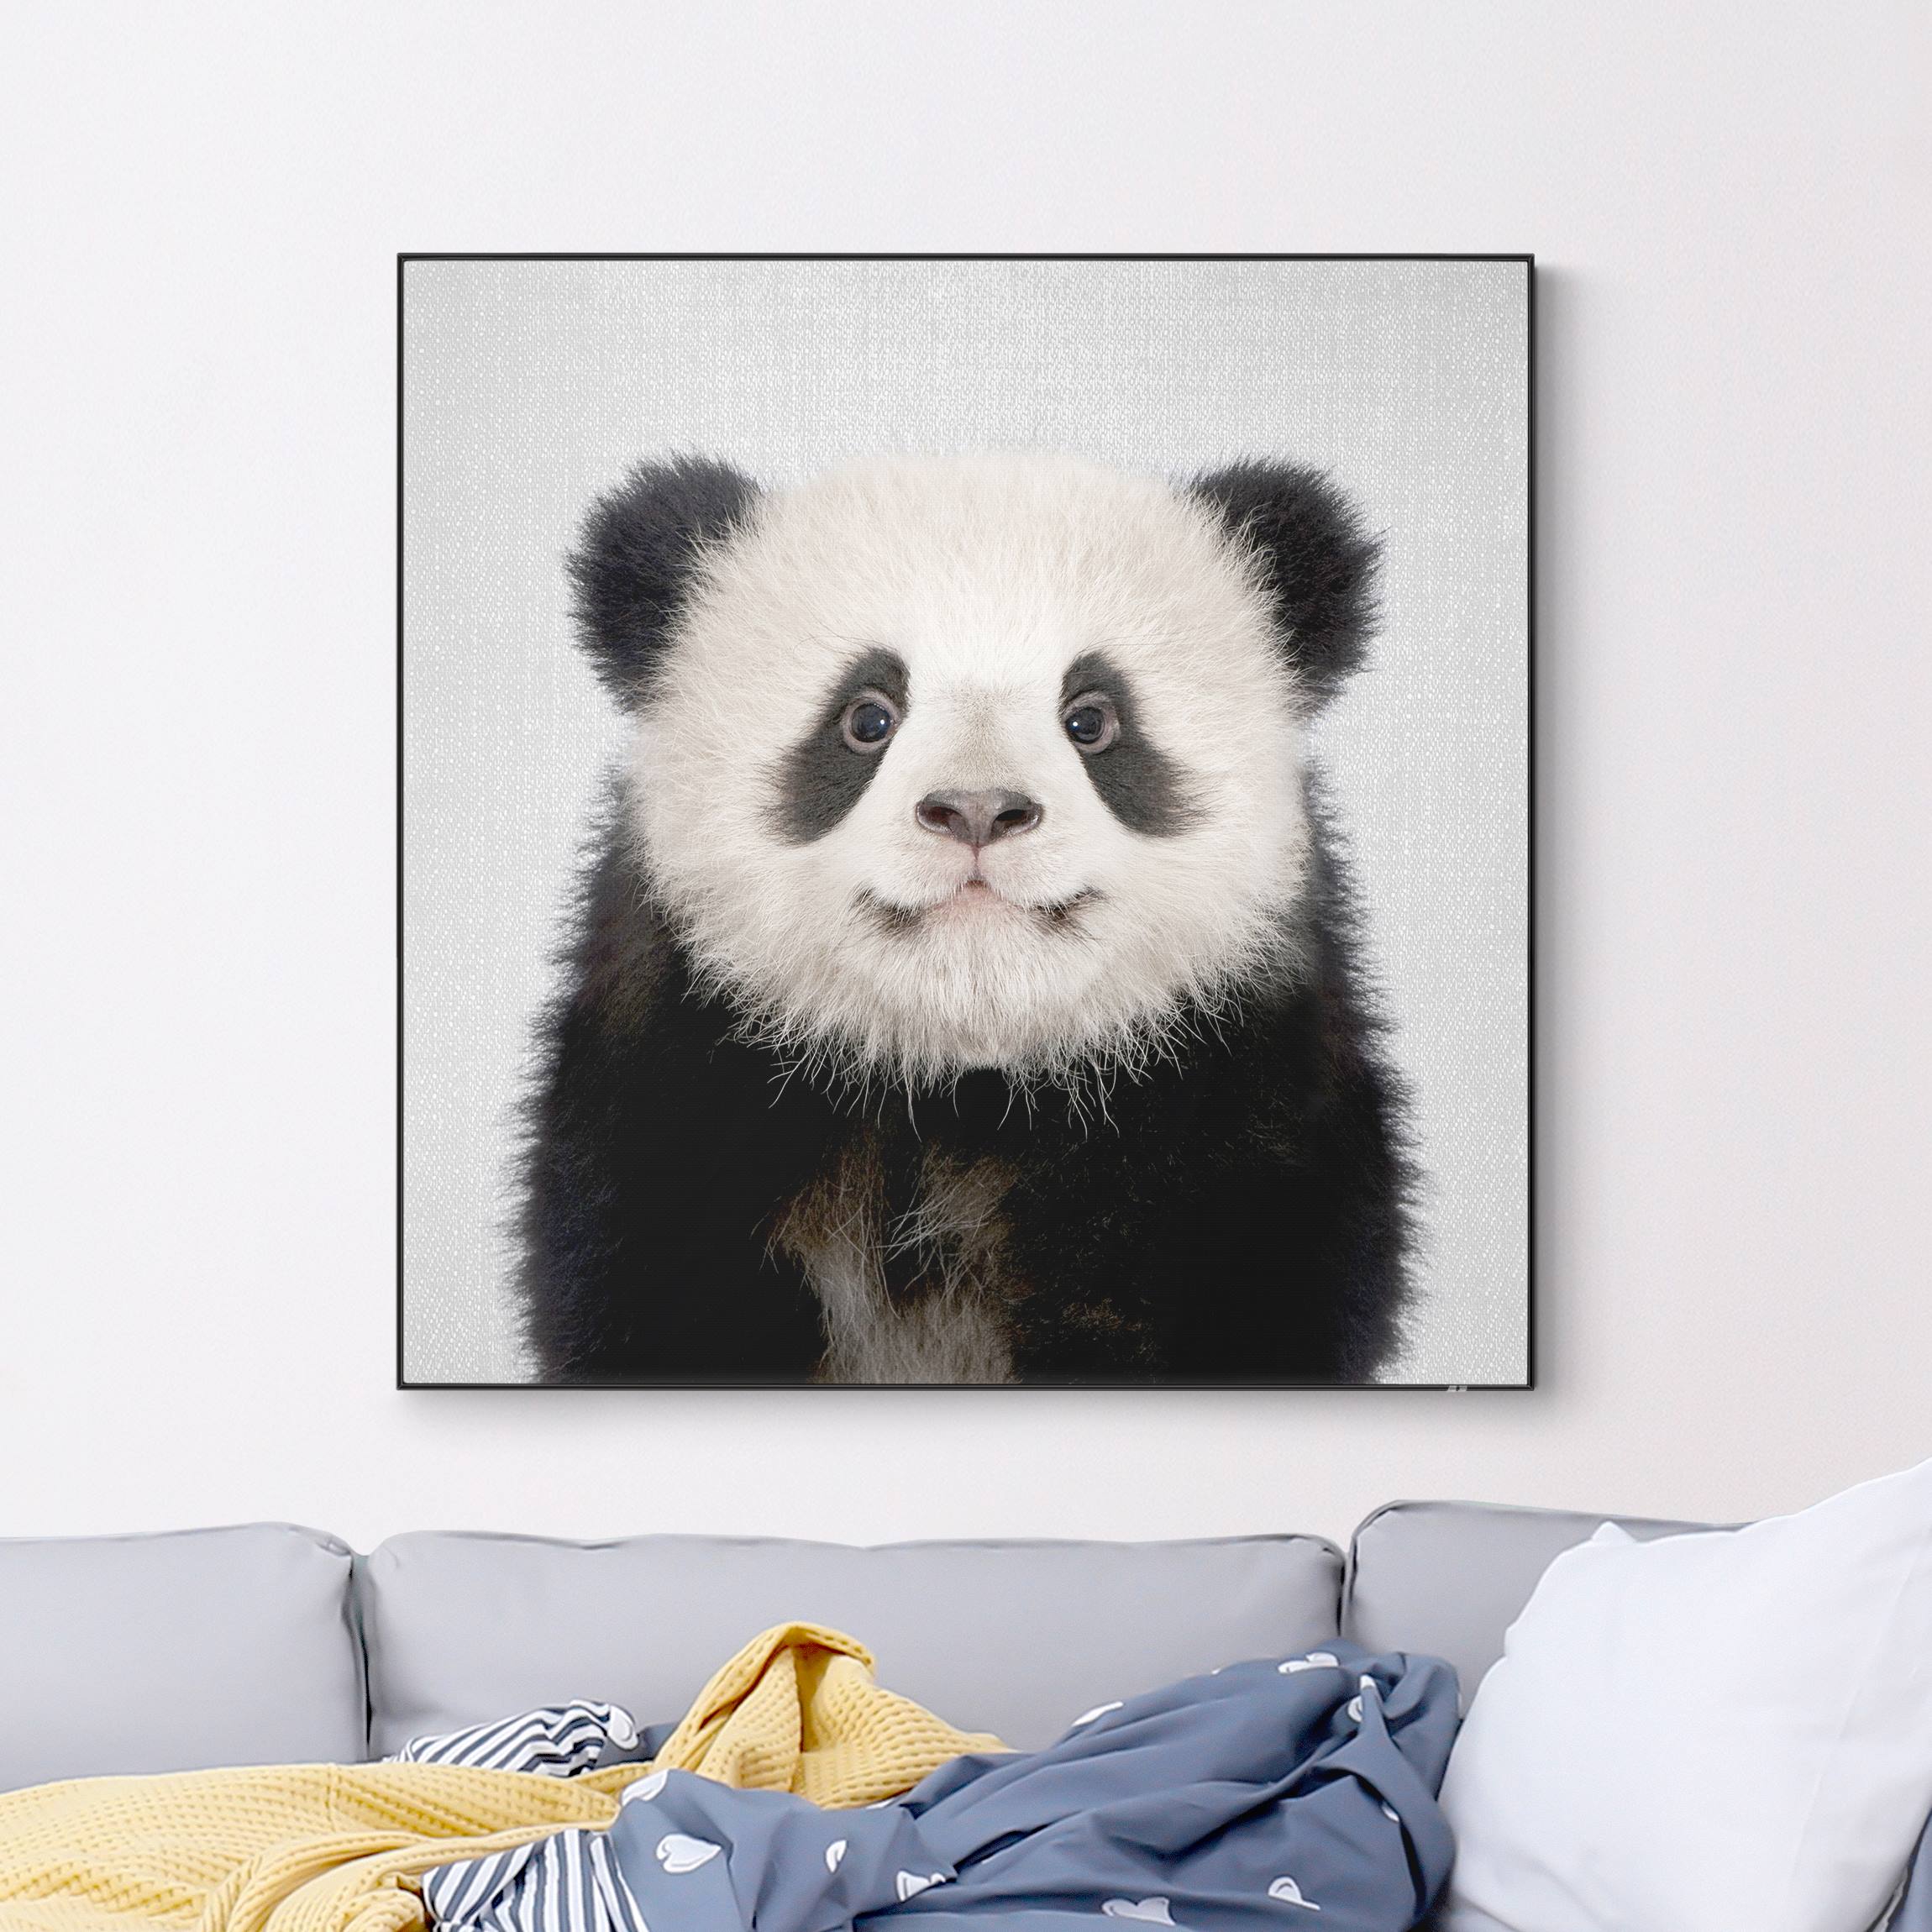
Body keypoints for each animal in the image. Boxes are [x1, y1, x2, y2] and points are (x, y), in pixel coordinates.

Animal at [514, 449, 1415, 1385]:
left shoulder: (1237, 1111)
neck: (957, 1081)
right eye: (866, 717)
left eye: (1091, 719)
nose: (978, 809)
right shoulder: (680, 1099)